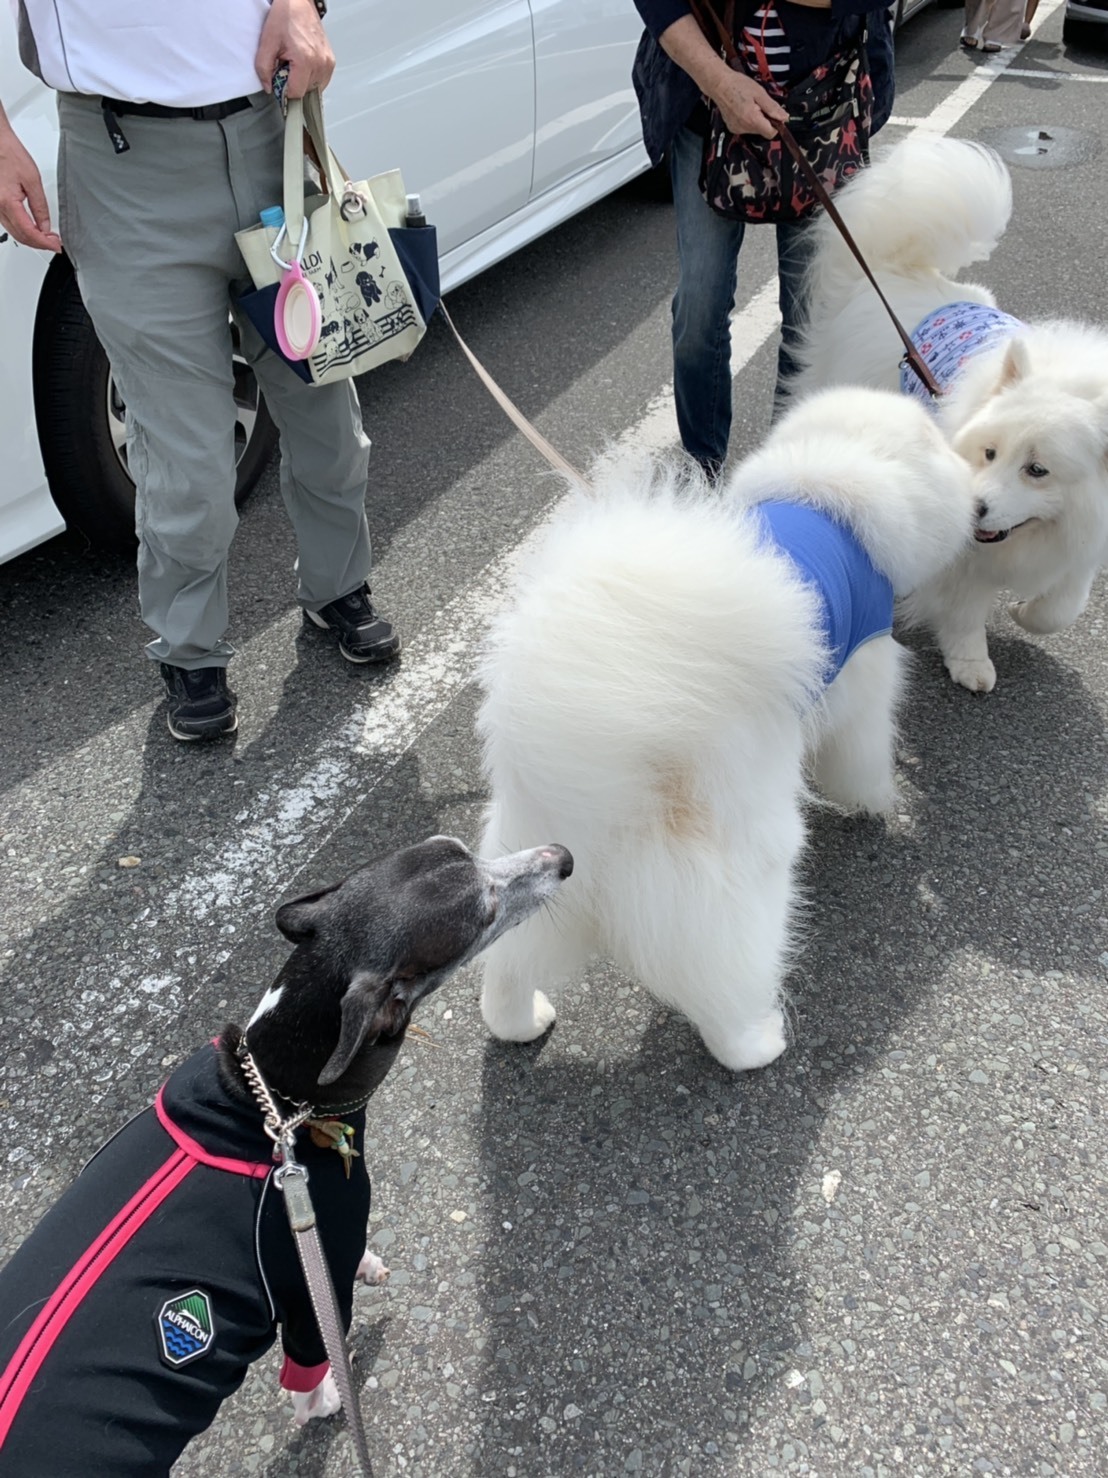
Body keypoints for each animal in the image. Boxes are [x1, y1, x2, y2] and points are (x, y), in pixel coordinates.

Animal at [0, 839, 573, 1472]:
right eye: (486, 912)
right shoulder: (309, 1286)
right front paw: (323, 1401)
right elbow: (311, 1359)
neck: (269, 1093)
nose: (564, 857)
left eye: (458, 849)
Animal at [478, 387, 980, 1070]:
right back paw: (757, 1043)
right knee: (724, 980)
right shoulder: (865, 673)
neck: (829, 490)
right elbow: (862, 758)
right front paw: (876, 804)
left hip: (524, 880)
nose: (978, 488)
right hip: (732, 882)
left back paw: (521, 1023)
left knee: (506, 970)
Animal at [791, 131, 1108, 691]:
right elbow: (963, 610)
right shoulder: (965, 557)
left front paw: (1025, 614)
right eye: (989, 453)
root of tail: (895, 269)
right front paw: (970, 663)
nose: (974, 507)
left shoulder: (1083, 540)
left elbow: (1062, 607)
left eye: (1037, 470)